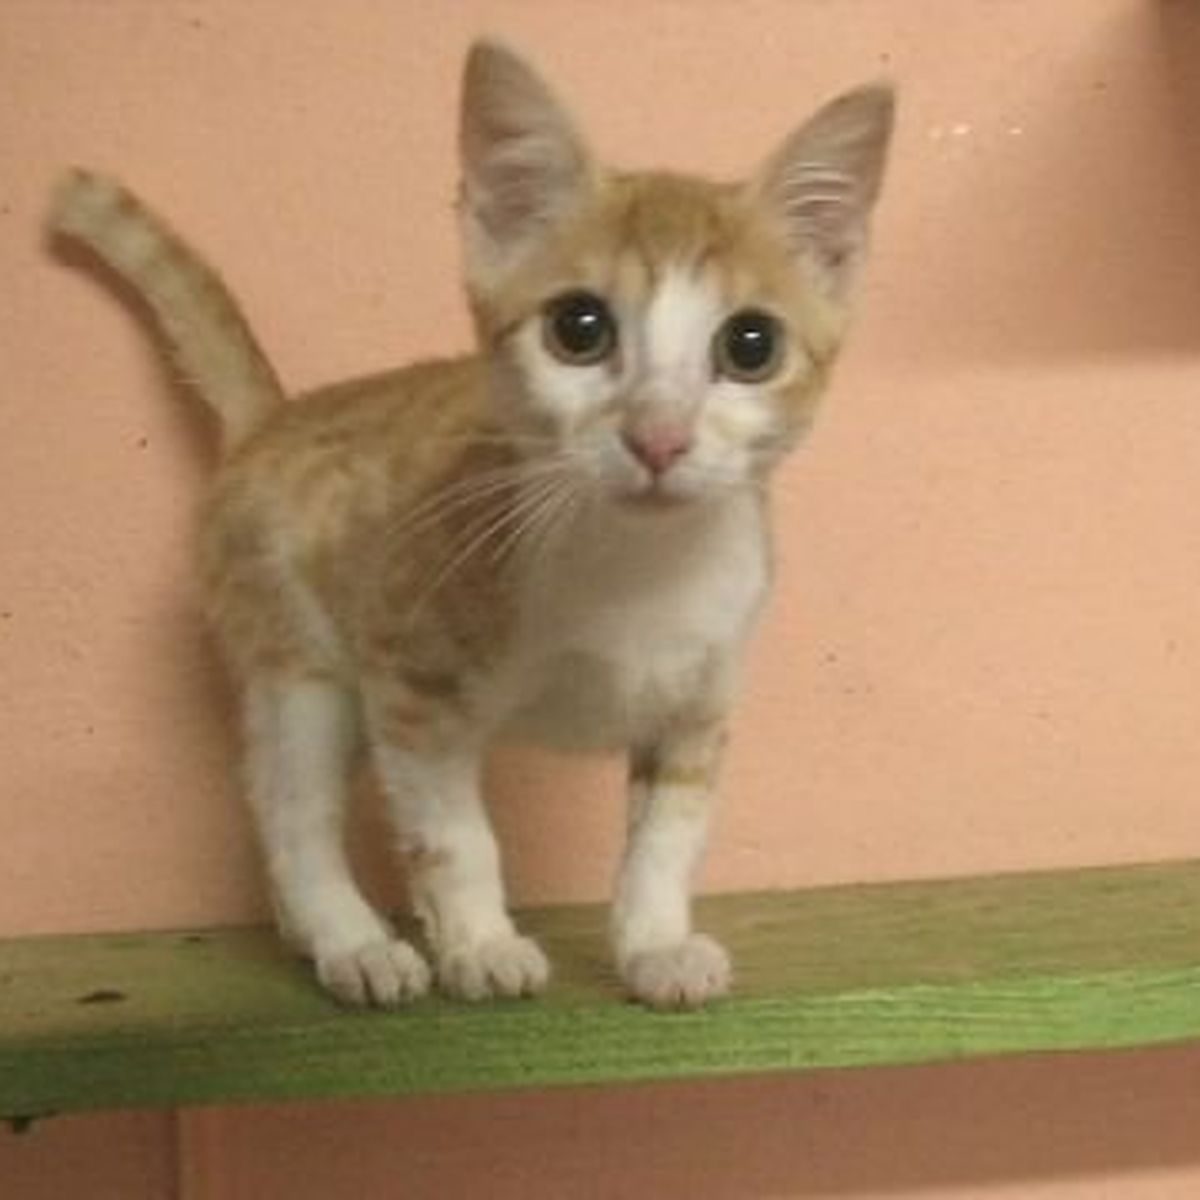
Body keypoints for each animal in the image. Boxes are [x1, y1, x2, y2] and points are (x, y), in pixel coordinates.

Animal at [49, 42, 892, 1008]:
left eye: (751, 346)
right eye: (579, 327)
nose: (659, 437)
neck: (637, 568)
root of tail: (276, 417)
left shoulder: (699, 702)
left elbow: (666, 837)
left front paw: (655, 945)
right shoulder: (411, 680)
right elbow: (453, 836)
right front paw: (481, 943)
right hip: (300, 660)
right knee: (289, 805)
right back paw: (351, 940)